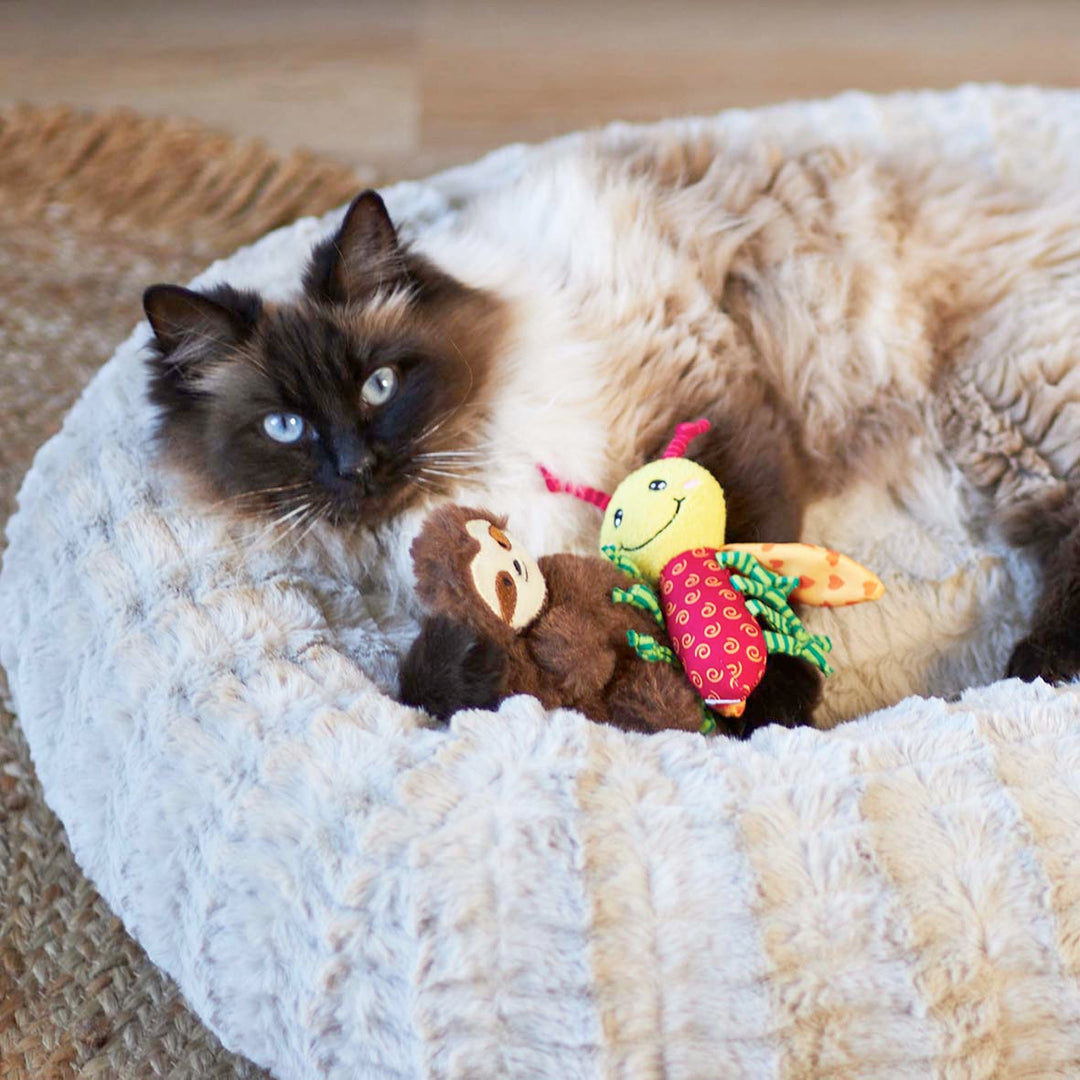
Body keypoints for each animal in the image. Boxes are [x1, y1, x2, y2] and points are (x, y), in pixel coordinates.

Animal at [143, 124, 1080, 708]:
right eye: (286, 430)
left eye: (379, 386)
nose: (356, 468)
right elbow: (431, 679)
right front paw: (475, 663)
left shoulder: (709, 402)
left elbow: (743, 580)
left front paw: (759, 708)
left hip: (1001, 407)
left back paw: (1042, 668)